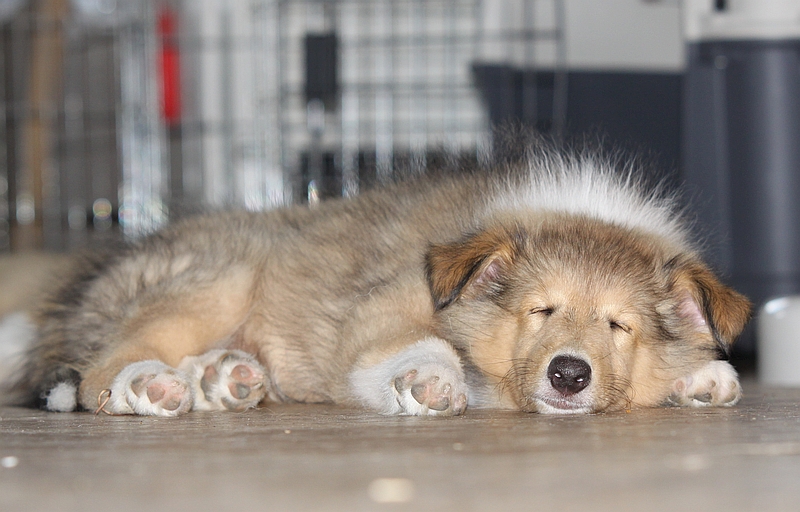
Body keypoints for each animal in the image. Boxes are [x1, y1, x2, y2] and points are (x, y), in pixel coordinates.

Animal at [3, 147, 752, 416]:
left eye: (619, 325)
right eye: (540, 311)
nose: (570, 375)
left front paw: (705, 376)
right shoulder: (383, 312)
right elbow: (416, 347)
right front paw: (431, 381)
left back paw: (225, 378)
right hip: (218, 275)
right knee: (102, 369)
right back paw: (152, 386)